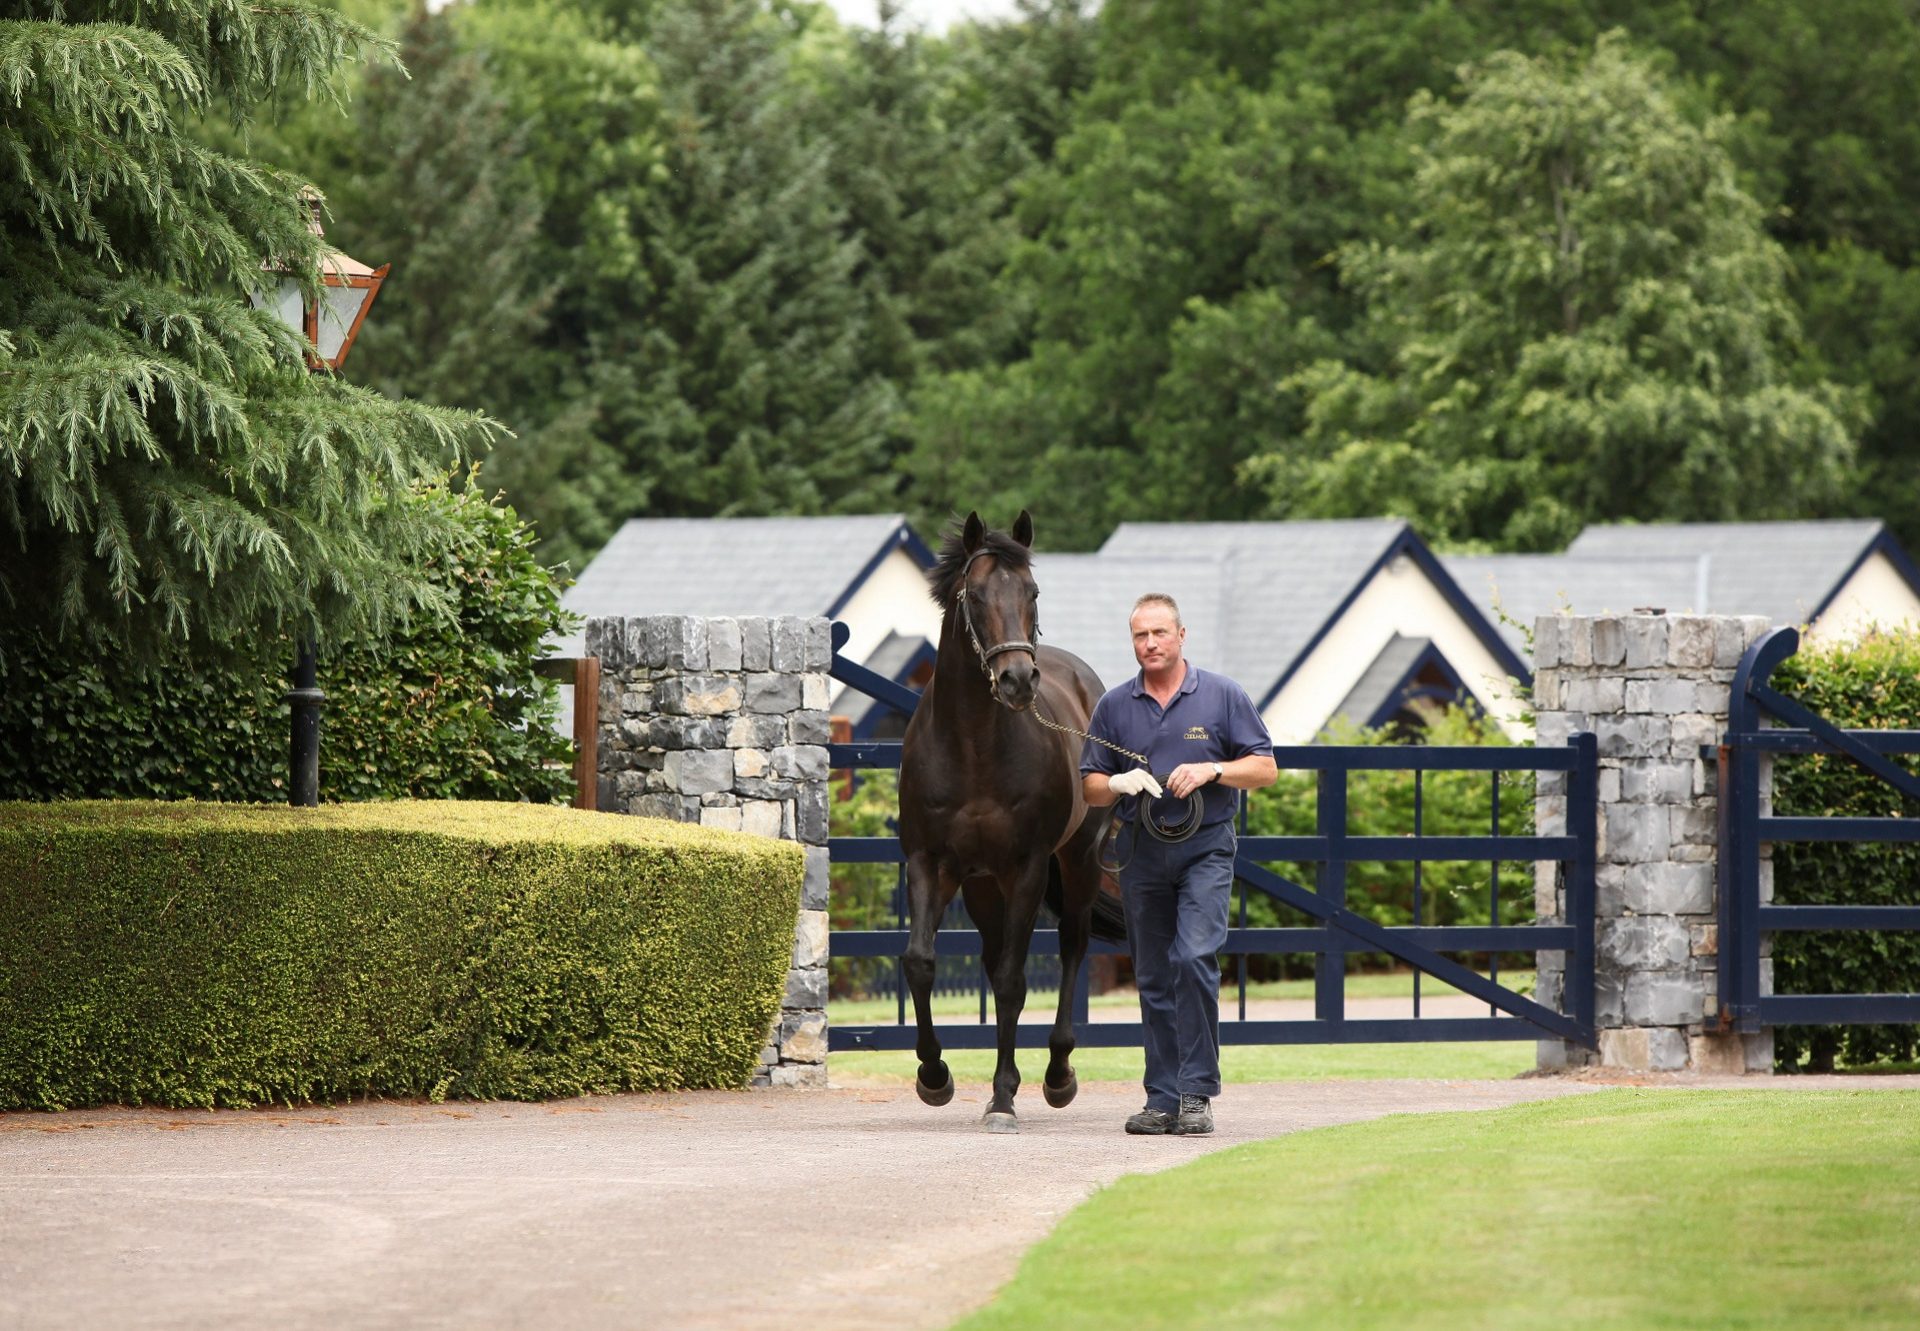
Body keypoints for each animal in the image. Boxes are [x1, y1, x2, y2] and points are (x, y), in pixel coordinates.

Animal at [894, 507, 1121, 1129]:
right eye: (974, 595)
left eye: (1032, 591)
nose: (1019, 680)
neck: (973, 745)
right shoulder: (929, 862)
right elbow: (921, 963)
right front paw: (934, 1077)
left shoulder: (1027, 867)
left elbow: (1014, 980)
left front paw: (1001, 1098)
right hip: (981, 885)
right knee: (994, 955)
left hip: (1077, 862)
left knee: (1070, 946)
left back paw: (1056, 1075)